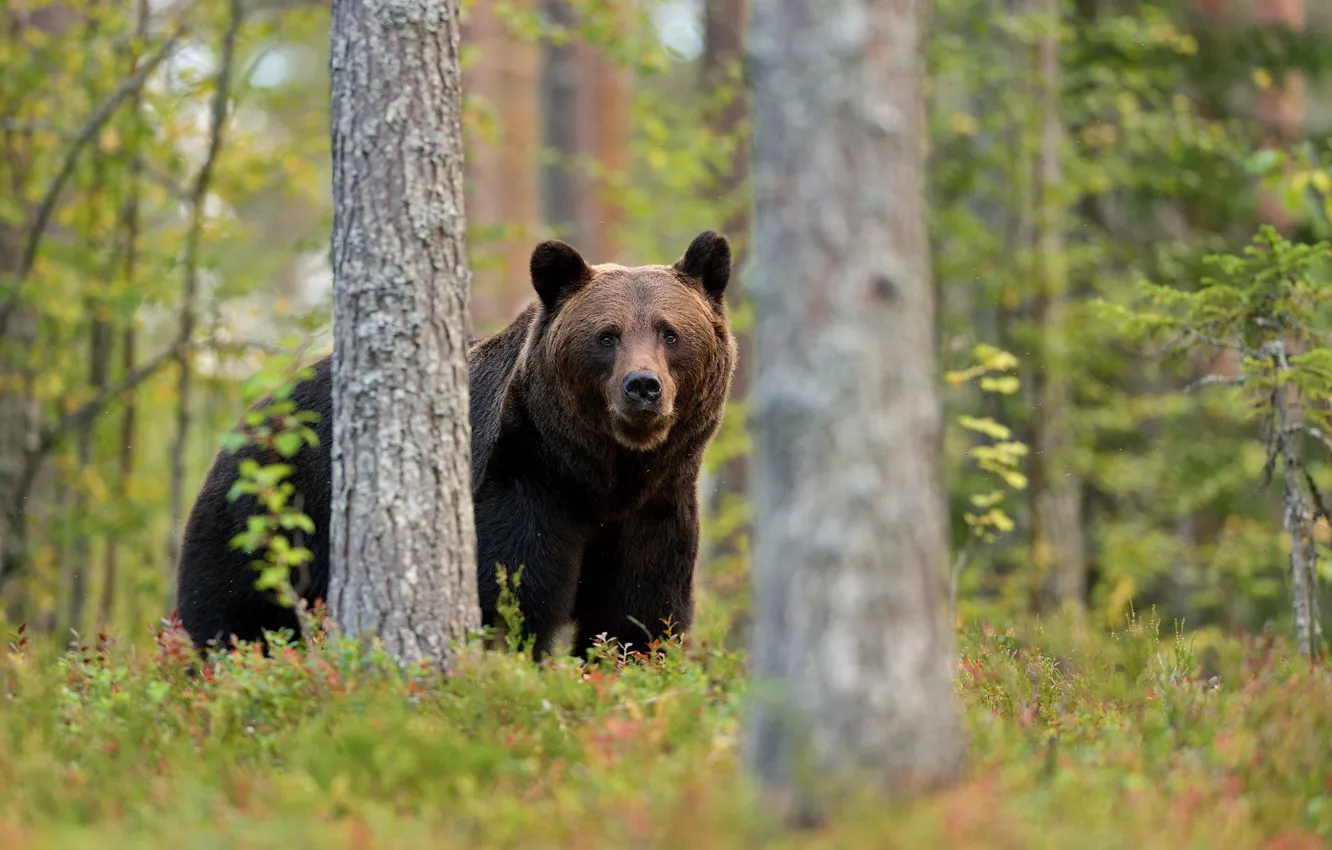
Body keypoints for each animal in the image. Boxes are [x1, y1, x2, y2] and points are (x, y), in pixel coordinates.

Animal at [174, 230, 737, 660]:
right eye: (606, 335)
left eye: (669, 332)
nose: (642, 386)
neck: (604, 474)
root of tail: (252, 418)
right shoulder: (524, 481)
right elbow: (512, 597)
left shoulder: (655, 509)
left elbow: (637, 616)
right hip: (268, 514)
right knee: (236, 614)